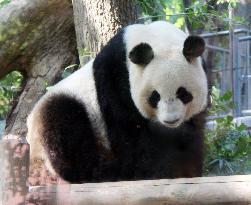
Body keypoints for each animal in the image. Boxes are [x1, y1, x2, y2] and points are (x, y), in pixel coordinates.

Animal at [26, 20, 209, 183]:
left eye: (183, 93)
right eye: (155, 96)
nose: (171, 120)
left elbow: (194, 133)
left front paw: (188, 169)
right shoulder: (114, 78)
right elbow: (130, 135)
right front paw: (158, 169)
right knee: (63, 123)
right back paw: (107, 172)